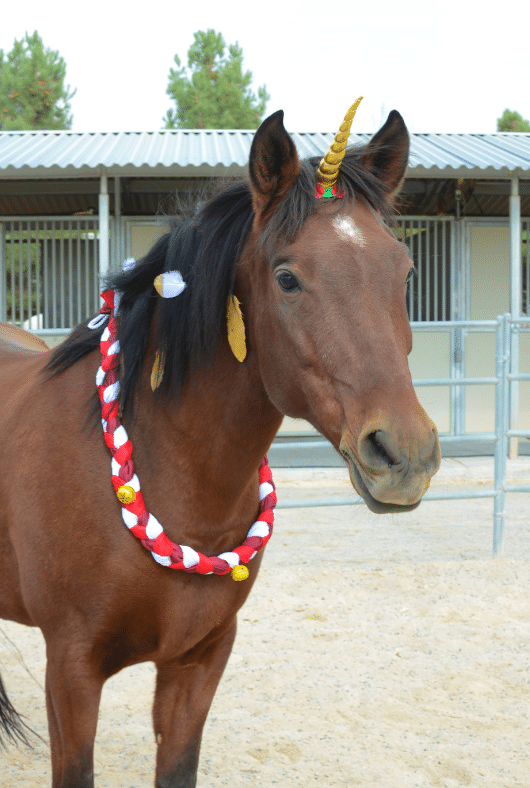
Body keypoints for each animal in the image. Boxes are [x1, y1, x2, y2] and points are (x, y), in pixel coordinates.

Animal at [0, 106, 438, 788]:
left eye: (405, 270)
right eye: (287, 278)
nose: (404, 455)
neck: (165, 472)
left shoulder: (199, 663)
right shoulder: (69, 670)